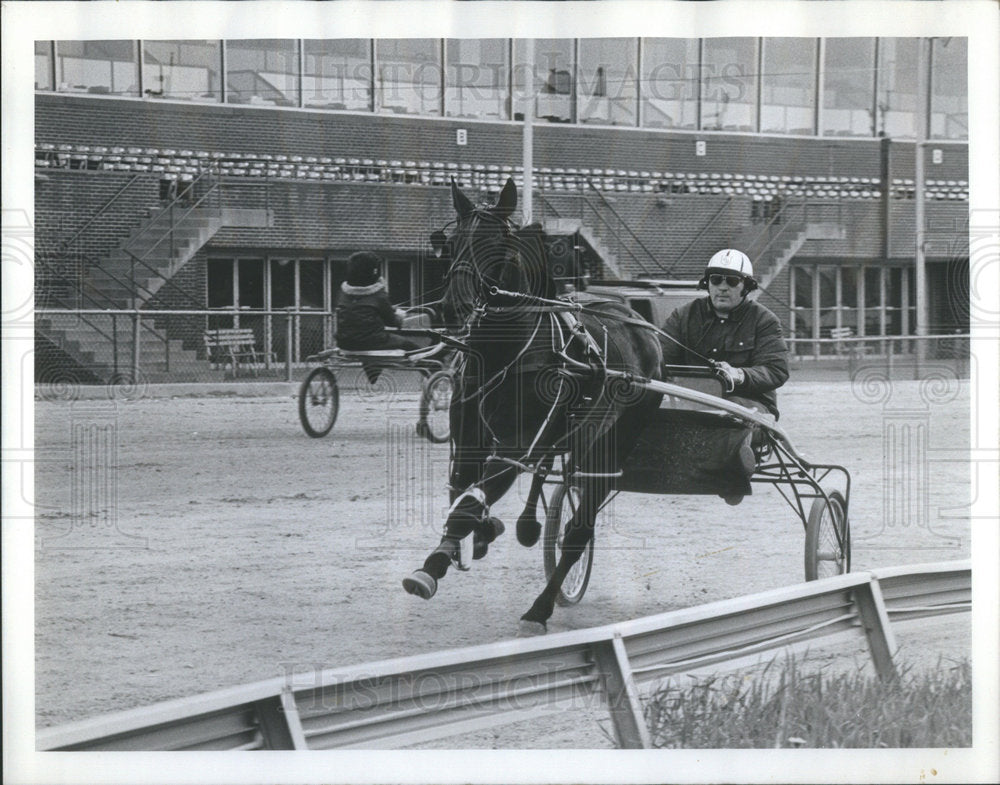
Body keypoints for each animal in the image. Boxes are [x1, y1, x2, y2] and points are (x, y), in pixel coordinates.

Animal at [398, 179, 664, 636]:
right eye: (452, 243)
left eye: (497, 247)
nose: (455, 306)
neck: (501, 353)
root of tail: (639, 324)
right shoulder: (469, 440)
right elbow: (462, 492)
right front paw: (472, 538)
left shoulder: (518, 443)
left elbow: (469, 501)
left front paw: (432, 567)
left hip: (611, 444)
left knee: (577, 531)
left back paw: (539, 608)